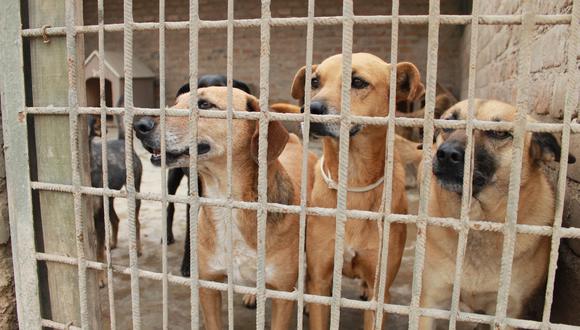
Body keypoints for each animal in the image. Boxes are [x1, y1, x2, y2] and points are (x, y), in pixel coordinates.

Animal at [133, 86, 318, 328]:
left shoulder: (282, 295)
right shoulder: (209, 285)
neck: (226, 204)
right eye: (175, 102)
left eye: (204, 105)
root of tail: (294, 141)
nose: (139, 125)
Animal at [292, 52, 424, 328]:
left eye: (358, 82)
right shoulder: (321, 277)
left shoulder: (379, 292)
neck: (353, 181)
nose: (310, 109)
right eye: (314, 81)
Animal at [422, 99, 576, 328]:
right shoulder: (431, 301)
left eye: (500, 133)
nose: (447, 154)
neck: (478, 222)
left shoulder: (507, 311)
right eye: (449, 124)